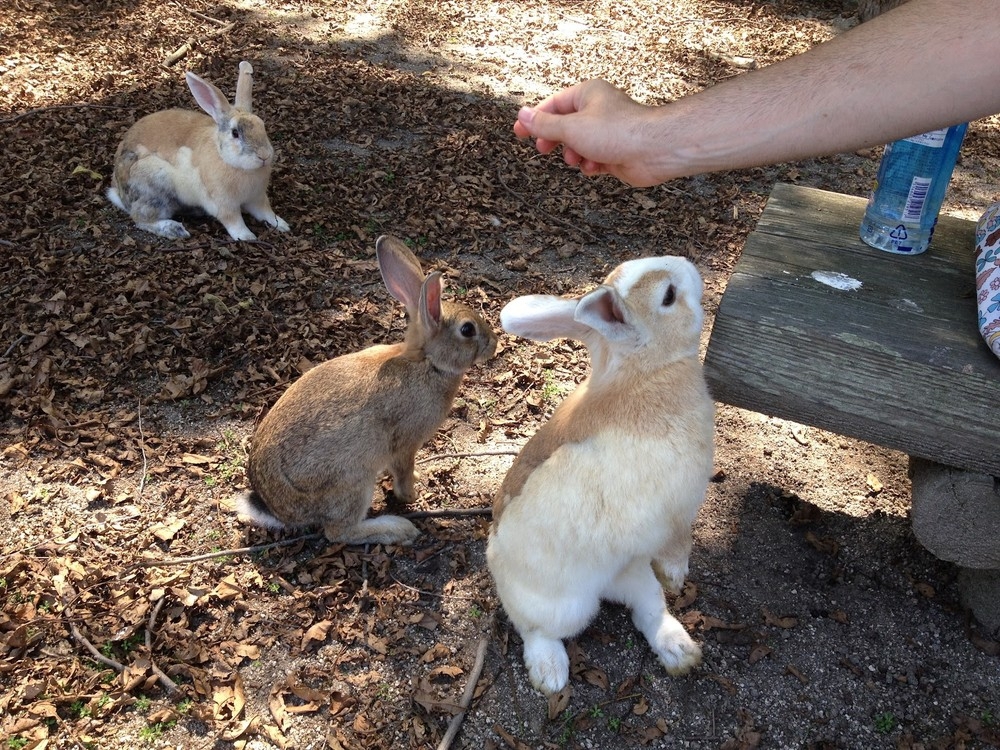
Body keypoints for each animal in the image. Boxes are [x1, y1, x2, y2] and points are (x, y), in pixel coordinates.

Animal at [108, 63, 290, 244]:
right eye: (235, 133)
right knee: (141, 219)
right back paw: (175, 230)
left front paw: (283, 225)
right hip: (155, 185)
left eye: (262, 125)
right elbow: (234, 221)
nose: (264, 155)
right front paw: (247, 237)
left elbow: (266, 213)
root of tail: (120, 191)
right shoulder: (224, 204)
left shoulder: (257, 198)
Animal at [235, 235, 500, 548]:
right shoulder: (405, 444)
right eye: (467, 330)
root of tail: (277, 509)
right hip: (351, 480)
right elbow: (402, 472)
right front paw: (411, 494)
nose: (494, 342)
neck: (426, 362)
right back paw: (398, 529)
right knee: (339, 532)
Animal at [486, 256, 716, 696]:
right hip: (563, 605)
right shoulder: (677, 512)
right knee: (536, 629)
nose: (689, 265)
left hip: (634, 574)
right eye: (668, 296)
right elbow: (678, 544)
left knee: (648, 610)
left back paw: (679, 651)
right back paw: (550, 673)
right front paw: (678, 576)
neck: (647, 373)